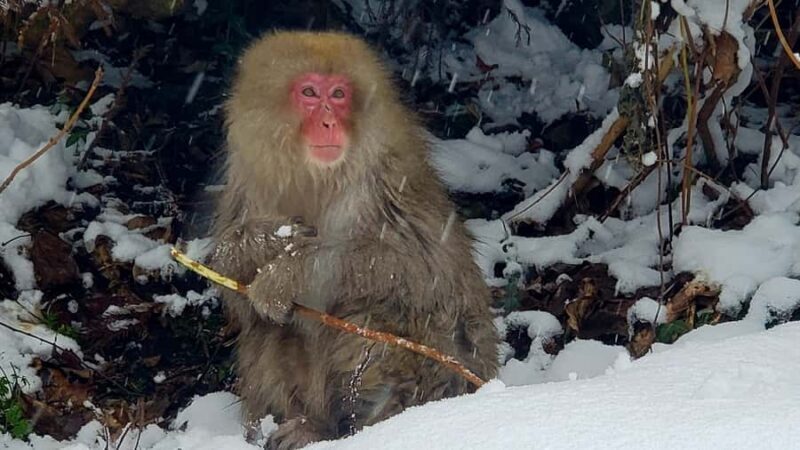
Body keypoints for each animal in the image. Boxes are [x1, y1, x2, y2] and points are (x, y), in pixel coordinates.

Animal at [209, 31, 499, 450]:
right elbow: (237, 294)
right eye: (310, 92)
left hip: (446, 375)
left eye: (339, 93)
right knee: (267, 330)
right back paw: (304, 424)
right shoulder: (246, 185)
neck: (319, 177)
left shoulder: (389, 180)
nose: (329, 121)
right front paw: (261, 242)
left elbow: (426, 273)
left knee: (378, 313)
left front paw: (289, 272)